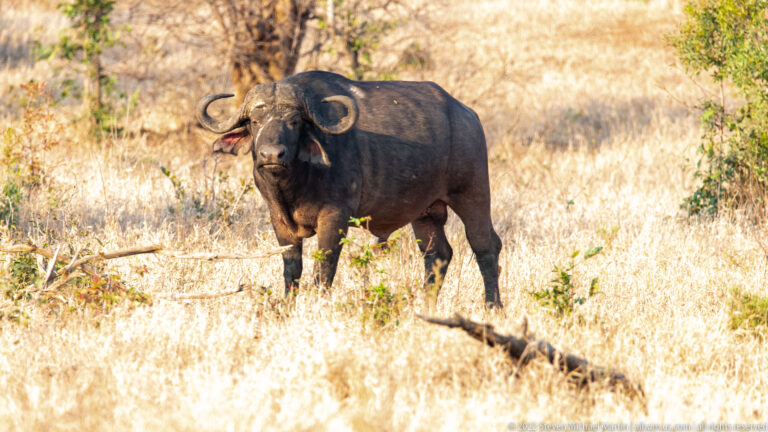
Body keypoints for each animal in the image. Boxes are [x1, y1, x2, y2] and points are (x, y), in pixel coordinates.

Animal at [196, 70, 503, 307]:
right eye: (255, 121)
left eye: (294, 122)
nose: (272, 155)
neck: (293, 185)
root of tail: (467, 115)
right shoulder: (280, 221)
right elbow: (292, 271)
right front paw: (287, 309)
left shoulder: (335, 218)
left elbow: (324, 268)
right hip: (426, 213)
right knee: (437, 255)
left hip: (473, 195)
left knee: (485, 245)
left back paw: (493, 306)